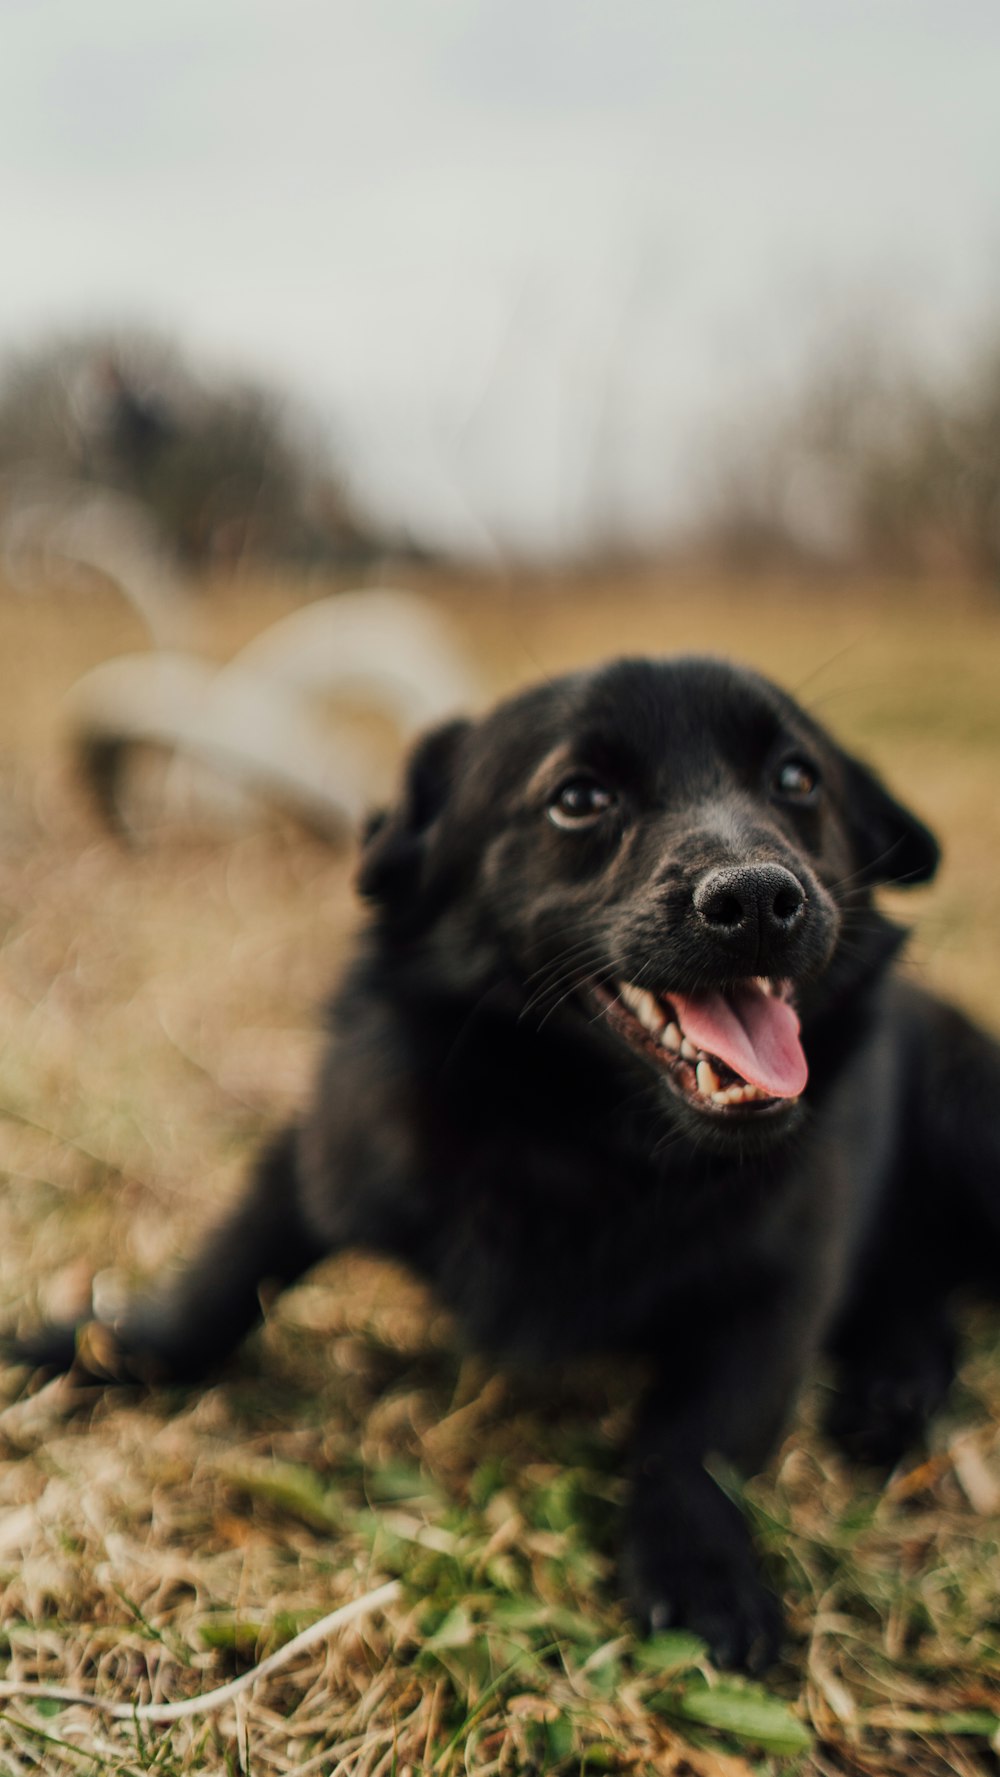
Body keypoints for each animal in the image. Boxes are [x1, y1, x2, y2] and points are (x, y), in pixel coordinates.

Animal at [13, 661, 1000, 1670]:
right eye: (579, 798)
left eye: (798, 779)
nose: (760, 897)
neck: (585, 1136)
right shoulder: (326, 1151)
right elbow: (222, 1276)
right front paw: (102, 1349)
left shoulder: (780, 1284)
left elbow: (698, 1440)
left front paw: (699, 1568)